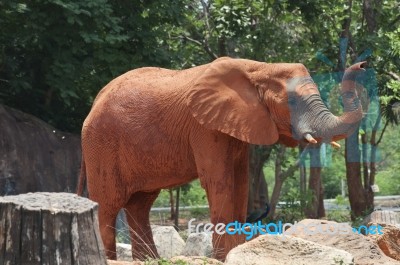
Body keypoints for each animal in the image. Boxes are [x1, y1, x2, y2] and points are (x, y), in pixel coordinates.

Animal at [76, 56, 368, 258]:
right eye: (292, 102)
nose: (363, 64)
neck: (259, 67)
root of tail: (93, 104)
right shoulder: (204, 127)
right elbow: (220, 181)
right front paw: (223, 257)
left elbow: (240, 183)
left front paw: (234, 254)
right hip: (102, 144)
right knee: (109, 204)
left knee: (140, 205)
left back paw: (148, 259)